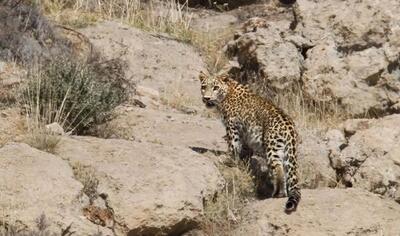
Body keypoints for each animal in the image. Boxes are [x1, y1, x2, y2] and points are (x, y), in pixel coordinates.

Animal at [198, 70, 298, 212]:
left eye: (215, 88)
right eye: (203, 87)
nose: (206, 98)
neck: (226, 94)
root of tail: (290, 127)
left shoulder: (232, 126)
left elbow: (233, 145)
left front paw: (228, 159)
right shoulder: (245, 132)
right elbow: (245, 148)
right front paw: (243, 160)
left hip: (272, 147)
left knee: (278, 169)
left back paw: (278, 194)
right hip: (284, 150)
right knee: (284, 169)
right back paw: (281, 193)